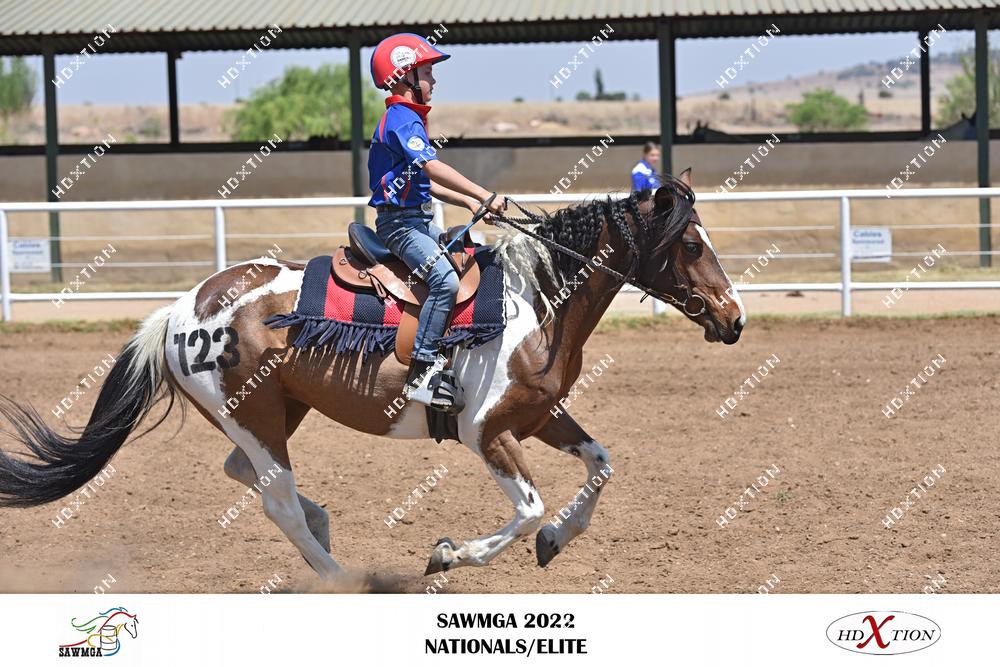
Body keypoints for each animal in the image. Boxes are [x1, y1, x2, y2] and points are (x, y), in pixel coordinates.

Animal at [0, 169, 745, 580]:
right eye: (689, 243)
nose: (734, 318)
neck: (534, 298)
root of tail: (181, 309)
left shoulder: (539, 416)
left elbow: (600, 464)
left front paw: (557, 539)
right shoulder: (484, 431)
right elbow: (529, 507)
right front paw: (448, 553)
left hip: (276, 412)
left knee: (249, 476)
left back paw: (323, 530)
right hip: (256, 415)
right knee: (274, 498)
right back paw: (340, 574)